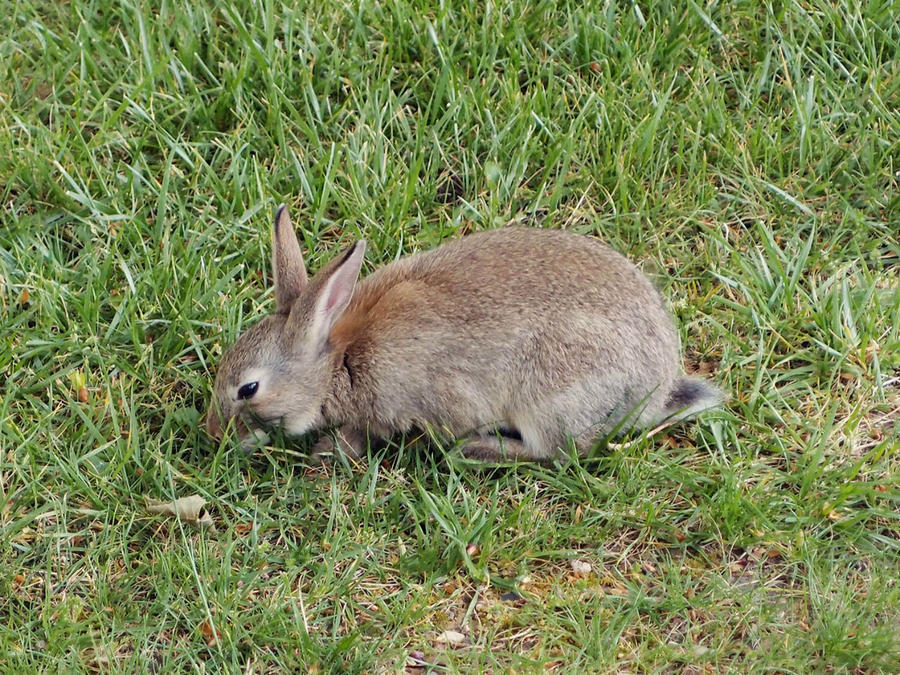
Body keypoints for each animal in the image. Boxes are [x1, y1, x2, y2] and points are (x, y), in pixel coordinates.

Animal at [206, 203, 724, 462]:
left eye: (249, 389)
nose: (212, 433)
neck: (339, 361)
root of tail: (656, 393)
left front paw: (330, 451)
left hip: (551, 396)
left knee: (556, 453)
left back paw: (477, 450)